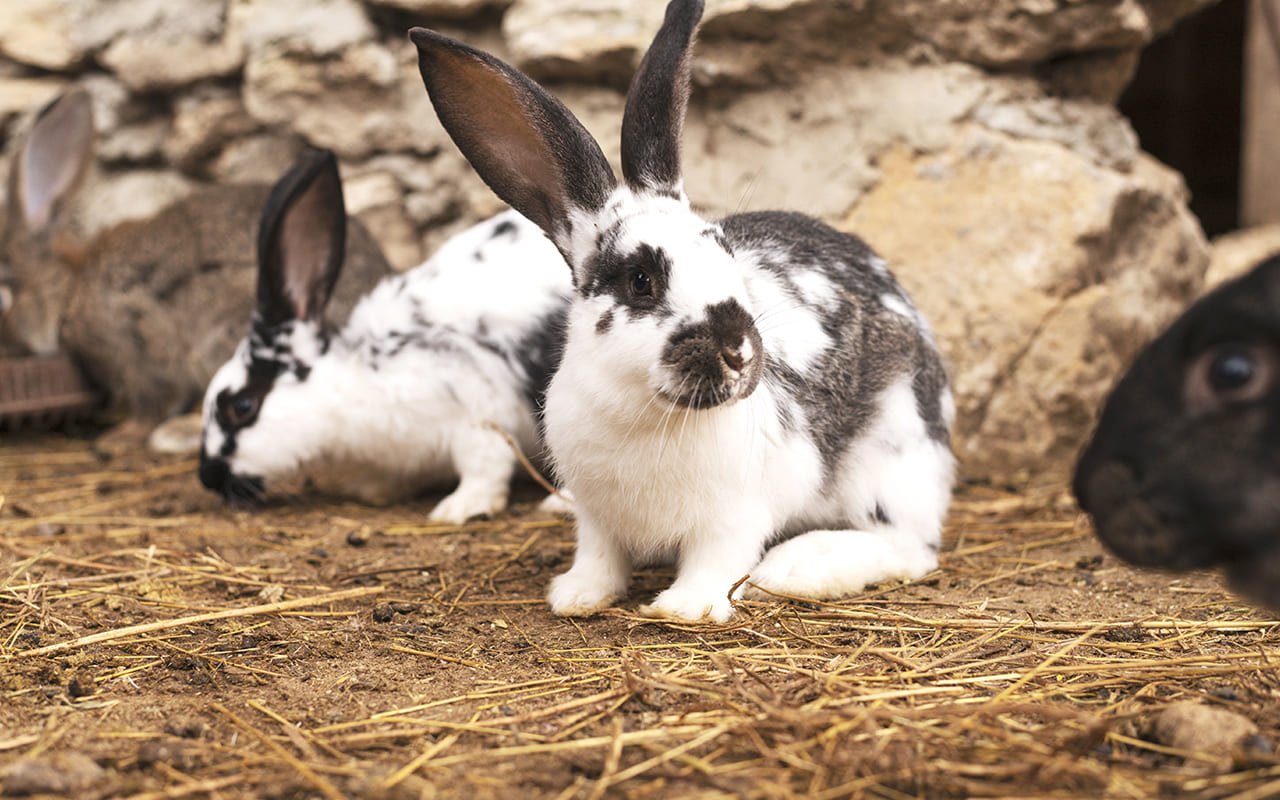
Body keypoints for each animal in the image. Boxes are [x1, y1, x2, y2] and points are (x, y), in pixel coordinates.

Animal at [196, 146, 573, 524]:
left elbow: (485, 466)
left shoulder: (478, 410)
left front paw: (459, 508)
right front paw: (369, 489)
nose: (208, 477)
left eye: (242, 406)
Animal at [410, 0, 956, 622]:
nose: (739, 351)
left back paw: (794, 568)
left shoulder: (735, 514)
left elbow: (716, 560)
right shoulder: (597, 518)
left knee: (909, 547)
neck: (644, 411)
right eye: (641, 280)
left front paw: (682, 608)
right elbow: (599, 557)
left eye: (726, 253)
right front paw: (576, 597)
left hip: (893, 459)